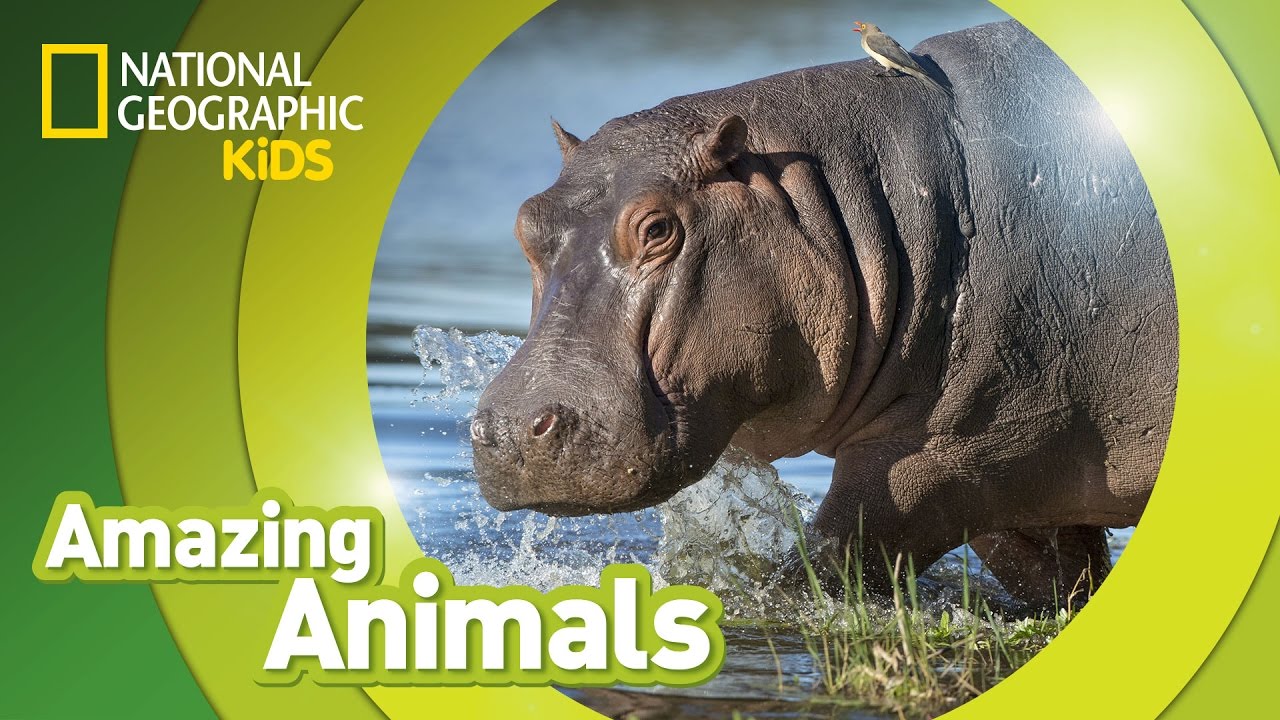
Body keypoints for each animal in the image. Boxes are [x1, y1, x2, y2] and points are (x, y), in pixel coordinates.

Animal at [468, 20, 1176, 606]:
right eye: (527, 221)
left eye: (659, 227)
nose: (509, 427)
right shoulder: (1020, 492)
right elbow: (1062, 582)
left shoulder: (937, 463)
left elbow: (821, 566)